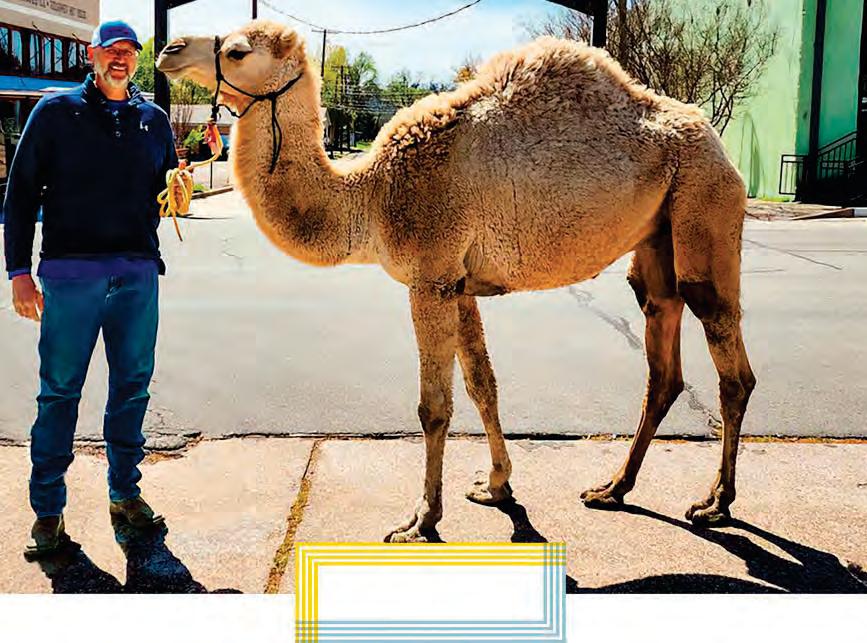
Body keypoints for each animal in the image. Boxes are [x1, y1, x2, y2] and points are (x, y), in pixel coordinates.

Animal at [156, 20, 755, 543]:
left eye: (237, 51)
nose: (169, 50)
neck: (370, 195)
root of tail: (719, 147)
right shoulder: (458, 283)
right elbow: (482, 386)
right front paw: (496, 487)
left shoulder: (429, 279)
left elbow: (433, 407)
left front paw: (421, 519)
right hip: (656, 242)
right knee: (663, 360)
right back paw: (613, 488)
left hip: (705, 204)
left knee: (731, 366)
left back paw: (715, 503)